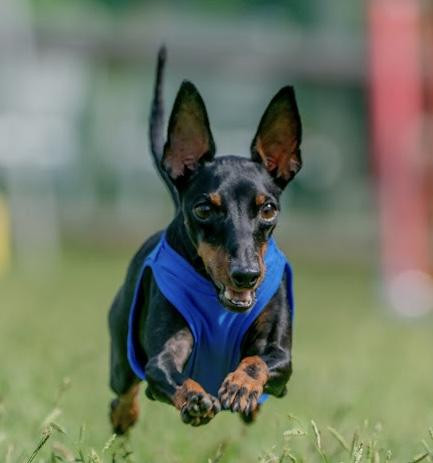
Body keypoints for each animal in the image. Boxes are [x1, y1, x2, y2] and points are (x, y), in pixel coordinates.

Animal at [109, 47, 302, 432]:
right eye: (203, 209)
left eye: (268, 209)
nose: (246, 275)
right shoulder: (162, 358)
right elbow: (166, 373)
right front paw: (195, 398)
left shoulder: (282, 357)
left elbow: (258, 361)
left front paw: (242, 386)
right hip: (121, 352)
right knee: (124, 389)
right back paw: (124, 415)